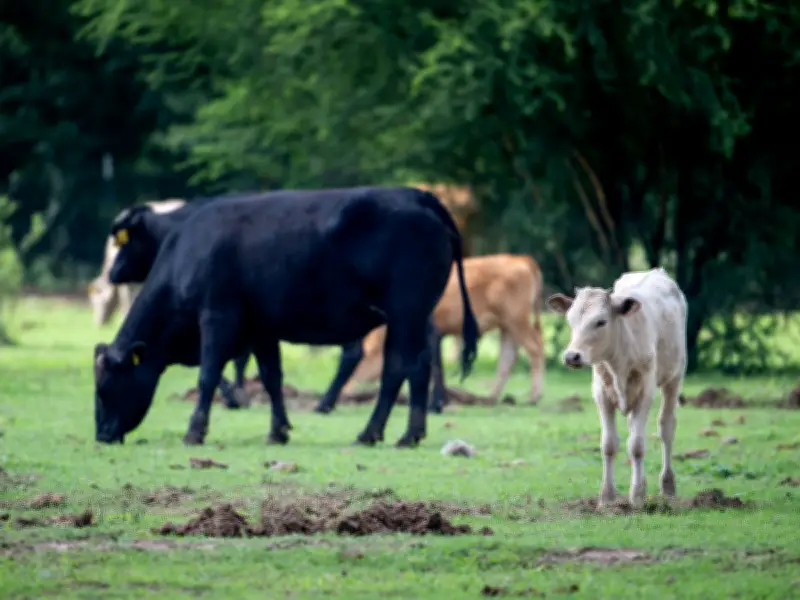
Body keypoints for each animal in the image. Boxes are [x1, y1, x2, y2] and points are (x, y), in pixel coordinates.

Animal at [92, 186, 479, 449]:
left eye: (105, 387)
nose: (102, 435)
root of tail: (419, 195)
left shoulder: (217, 316)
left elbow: (208, 376)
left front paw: (195, 431)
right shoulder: (261, 328)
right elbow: (271, 377)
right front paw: (277, 430)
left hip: (406, 312)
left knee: (404, 366)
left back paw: (389, 433)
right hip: (411, 316)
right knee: (411, 365)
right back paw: (395, 431)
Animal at [313, 253, 545, 414]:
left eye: (364, 360)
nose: (347, 391)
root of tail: (521, 259)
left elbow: (433, 365)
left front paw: (435, 404)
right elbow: (436, 364)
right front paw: (438, 402)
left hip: (517, 320)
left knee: (534, 349)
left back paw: (534, 396)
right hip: (507, 327)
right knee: (508, 358)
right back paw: (491, 398)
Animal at [545, 267, 688, 508]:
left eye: (600, 322)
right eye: (571, 321)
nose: (572, 356)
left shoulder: (645, 393)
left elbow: (637, 445)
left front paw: (637, 497)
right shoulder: (601, 395)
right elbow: (609, 445)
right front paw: (607, 497)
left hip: (674, 377)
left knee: (666, 428)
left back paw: (667, 485)